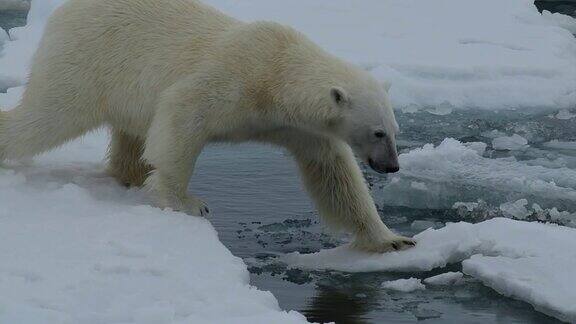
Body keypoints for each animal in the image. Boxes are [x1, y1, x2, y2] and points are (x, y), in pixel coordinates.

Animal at [0, 0, 414, 253]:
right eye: (377, 132)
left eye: (395, 131)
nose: (392, 166)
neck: (278, 72)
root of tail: (62, 13)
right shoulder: (236, 76)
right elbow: (181, 114)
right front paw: (189, 203)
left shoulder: (298, 126)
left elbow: (333, 173)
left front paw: (393, 239)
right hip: (87, 61)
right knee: (47, 115)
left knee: (127, 137)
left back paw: (128, 175)